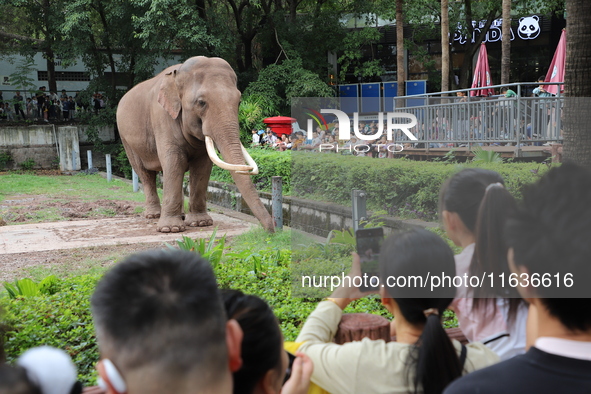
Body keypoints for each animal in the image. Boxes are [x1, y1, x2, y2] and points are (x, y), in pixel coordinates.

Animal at [117, 56, 276, 232]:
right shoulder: (162, 117)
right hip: (126, 139)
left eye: (239, 101)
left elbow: (201, 166)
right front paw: (170, 229)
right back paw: (153, 215)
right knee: (145, 174)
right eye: (201, 102)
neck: (177, 74)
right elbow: (174, 161)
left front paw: (200, 223)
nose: (272, 231)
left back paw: (180, 215)